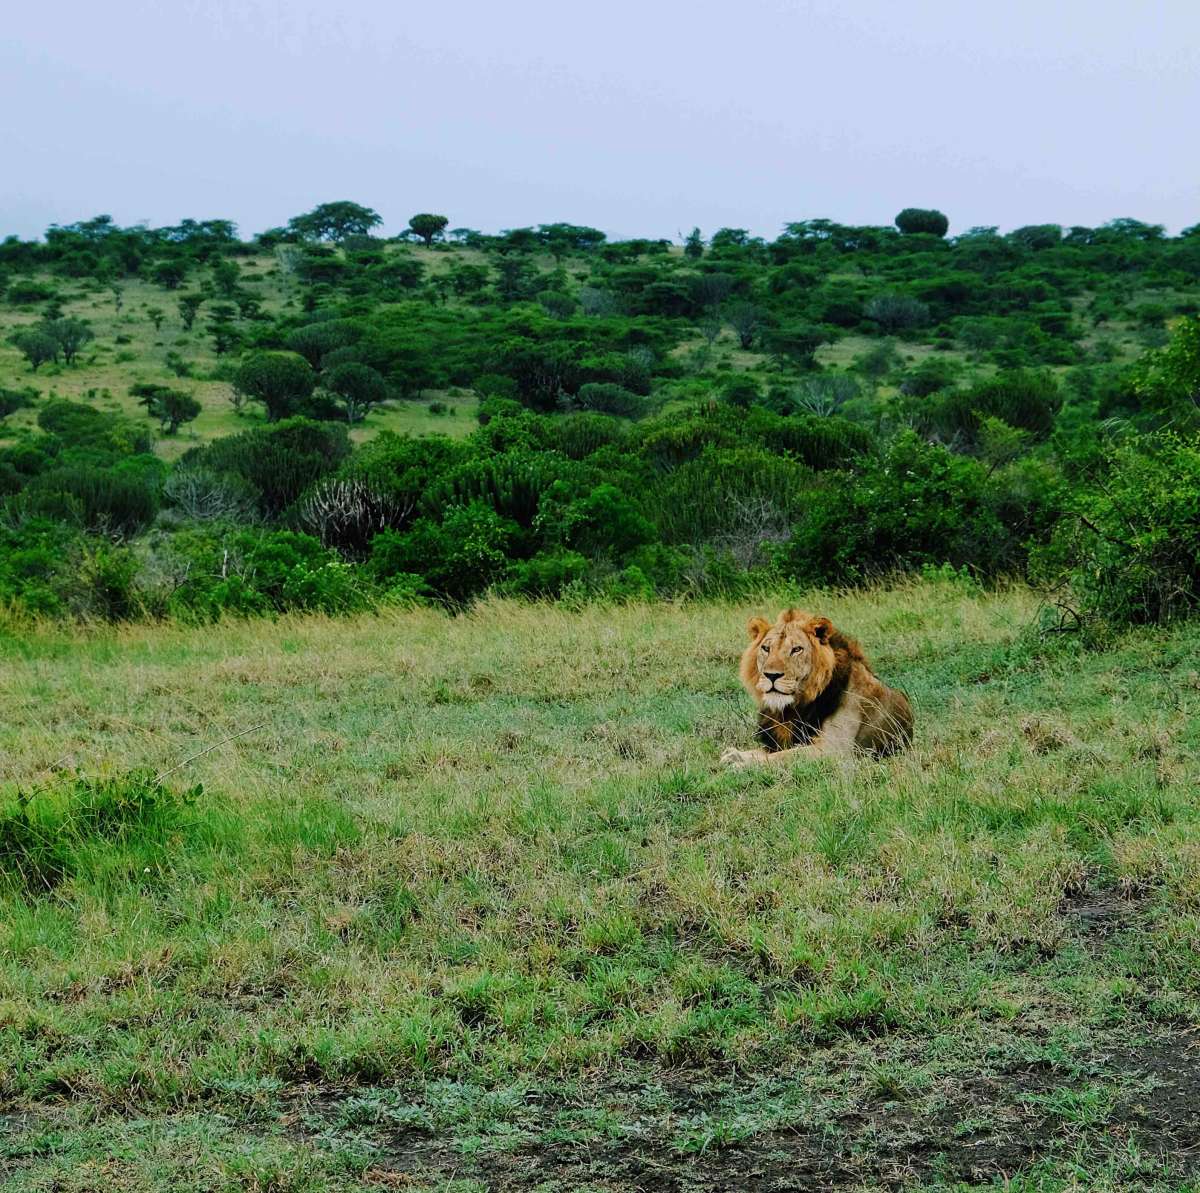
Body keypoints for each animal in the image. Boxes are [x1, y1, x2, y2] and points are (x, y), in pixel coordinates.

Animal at [720, 609, 907, 768]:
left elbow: (787, 755)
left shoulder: (835, 749)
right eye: (766, 648)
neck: (794, 708)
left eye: (796, 649)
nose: (771, 675)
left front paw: (740, 763)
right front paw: (734, 754)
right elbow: (768, 751)